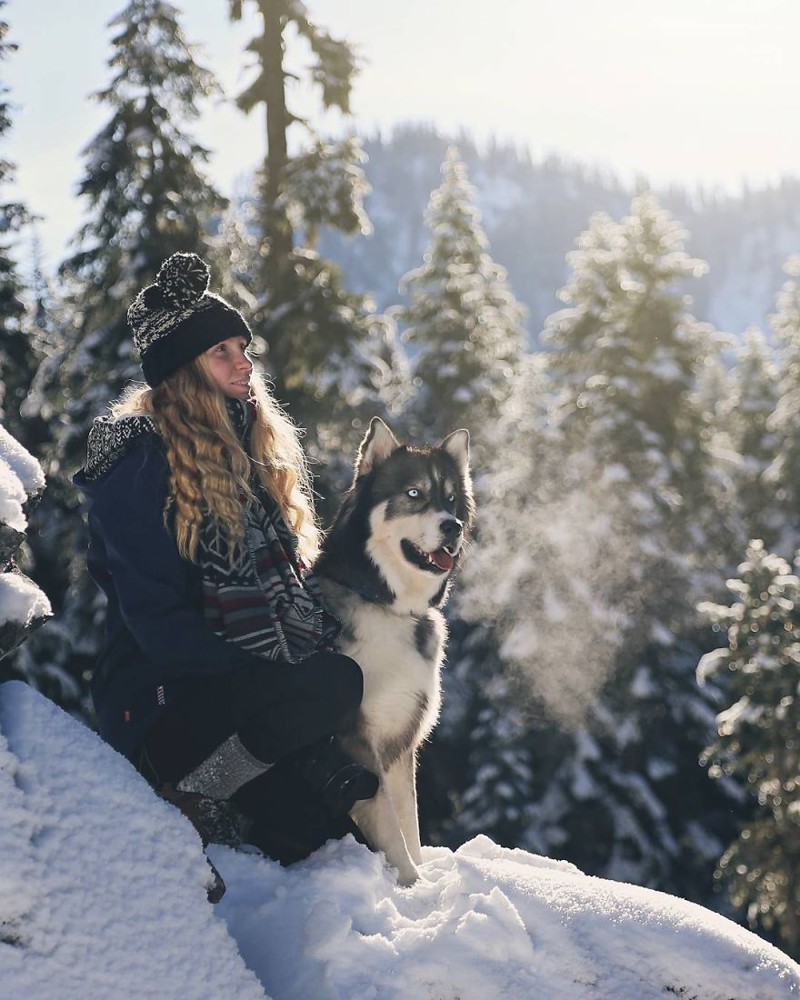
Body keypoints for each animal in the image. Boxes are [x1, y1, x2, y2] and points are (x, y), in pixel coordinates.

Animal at [314, 418, 476, 888]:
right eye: (414, 493)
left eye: (452, 499)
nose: (453, 527)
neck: (389, 607)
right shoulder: (357, 738)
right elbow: (388, 822)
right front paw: (411, 884)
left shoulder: (402, 743)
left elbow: (408, 820)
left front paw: (421, 879)